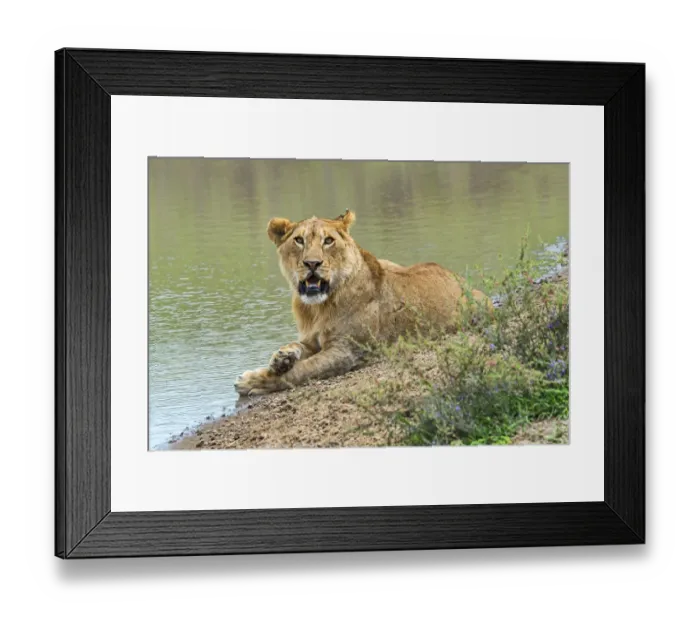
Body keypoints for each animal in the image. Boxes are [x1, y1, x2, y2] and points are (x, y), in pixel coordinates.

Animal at [234, 209, 491, 396]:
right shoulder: (311, 340)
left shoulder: (345, 351)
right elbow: (296, 346)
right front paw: (281, 358)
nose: (312, 263)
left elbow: (301, 372)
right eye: (299, 240)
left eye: (328, 241)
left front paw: (252, 380)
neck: (317, 308)